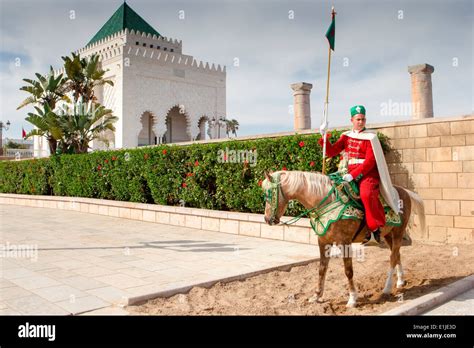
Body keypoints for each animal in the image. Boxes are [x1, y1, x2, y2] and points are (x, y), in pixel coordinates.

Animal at [262, 171, 426, 308]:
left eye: (268, 194)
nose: (267, 219)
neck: (326, 201)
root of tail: (404, 191)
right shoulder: (323, 242)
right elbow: (321, 269)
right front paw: (316, 296)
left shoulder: (344, 242)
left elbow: (348, 271)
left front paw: (352, 299)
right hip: (388, 234)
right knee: (396, 253)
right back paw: (400, 281)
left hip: (398, 232)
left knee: (392, 257)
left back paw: (386, 287)